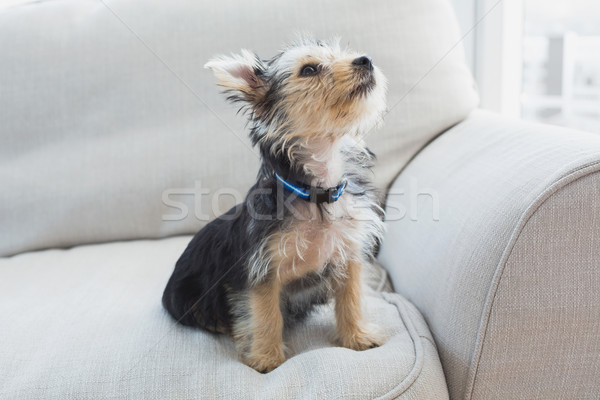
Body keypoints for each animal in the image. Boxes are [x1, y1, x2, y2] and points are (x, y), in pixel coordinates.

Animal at [164, 37, 386, 372]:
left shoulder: (349, 256)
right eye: (309, 69)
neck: (316, 192)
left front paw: (357, 336)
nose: (366, 60)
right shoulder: (261, 271)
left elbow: (351, 299)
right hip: (188, 299)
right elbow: (266, 314)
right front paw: (267, 358)